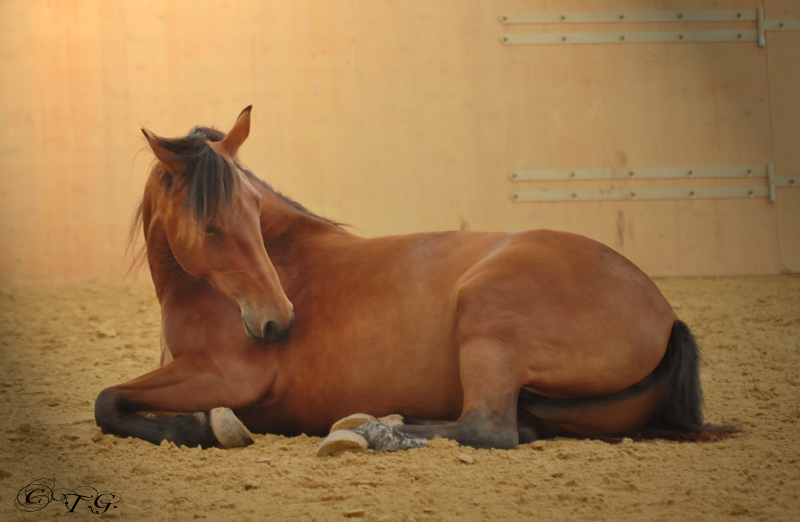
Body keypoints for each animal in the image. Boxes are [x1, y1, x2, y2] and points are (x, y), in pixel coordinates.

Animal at [94, 106, 732, 450]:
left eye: (253, 211)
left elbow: (107, 402)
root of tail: (665, 314)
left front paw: (204, 427)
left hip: (487, 321)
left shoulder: (223, 375)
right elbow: (112, 402)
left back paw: (374, 430)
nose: (277, 323)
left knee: (486, 428)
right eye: (210, 225)